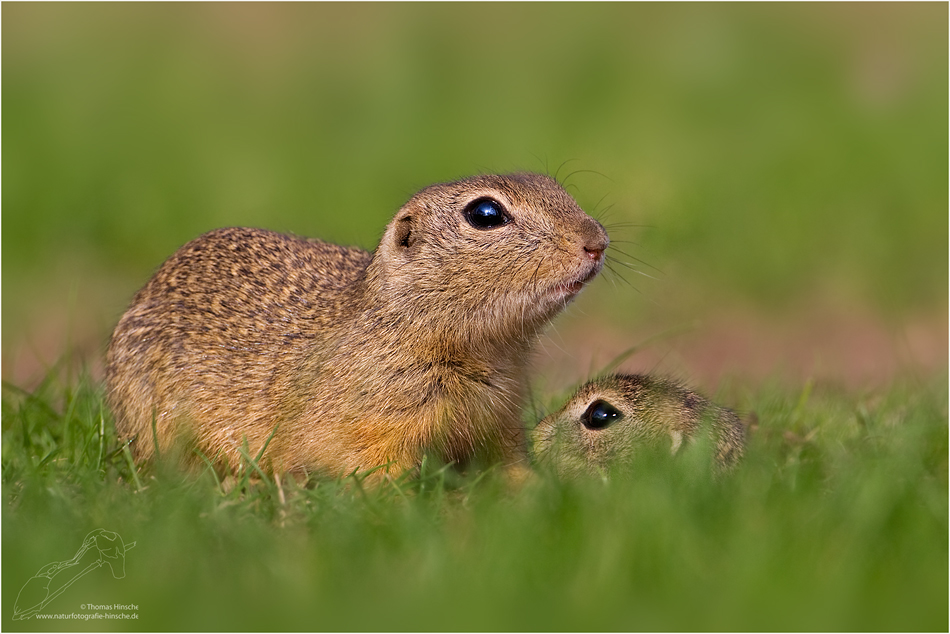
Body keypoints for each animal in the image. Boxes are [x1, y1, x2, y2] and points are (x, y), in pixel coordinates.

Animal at [106, 172, 608, 478]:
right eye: (485, 214)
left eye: (554, 186)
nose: (597, 241)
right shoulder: (374, 430)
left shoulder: (500, 422)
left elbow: (510, 468)